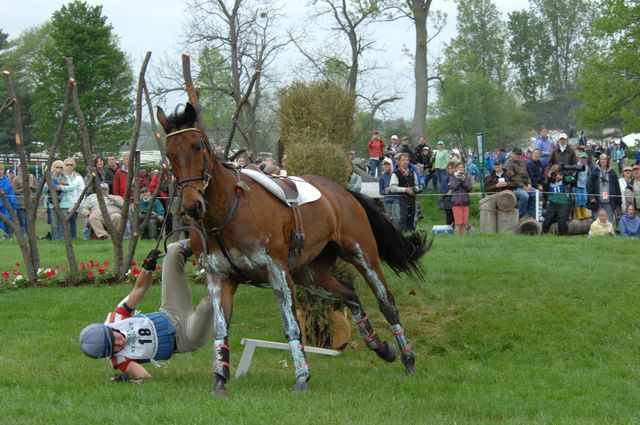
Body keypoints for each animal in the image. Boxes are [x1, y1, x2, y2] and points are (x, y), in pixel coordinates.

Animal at [159, 102, 430, 394]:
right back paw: (379, 346)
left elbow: (291, 326)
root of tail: (343, 191)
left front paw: (302, 378)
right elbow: (220, 330)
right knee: (349, 293)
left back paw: (408, 359)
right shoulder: (219, 279)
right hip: (310, 274)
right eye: (169, 153)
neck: (224, 216)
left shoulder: (276, 271)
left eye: (197, 146)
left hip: (361, 255)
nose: (192, 205)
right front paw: (219, 381)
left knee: (386, 302)